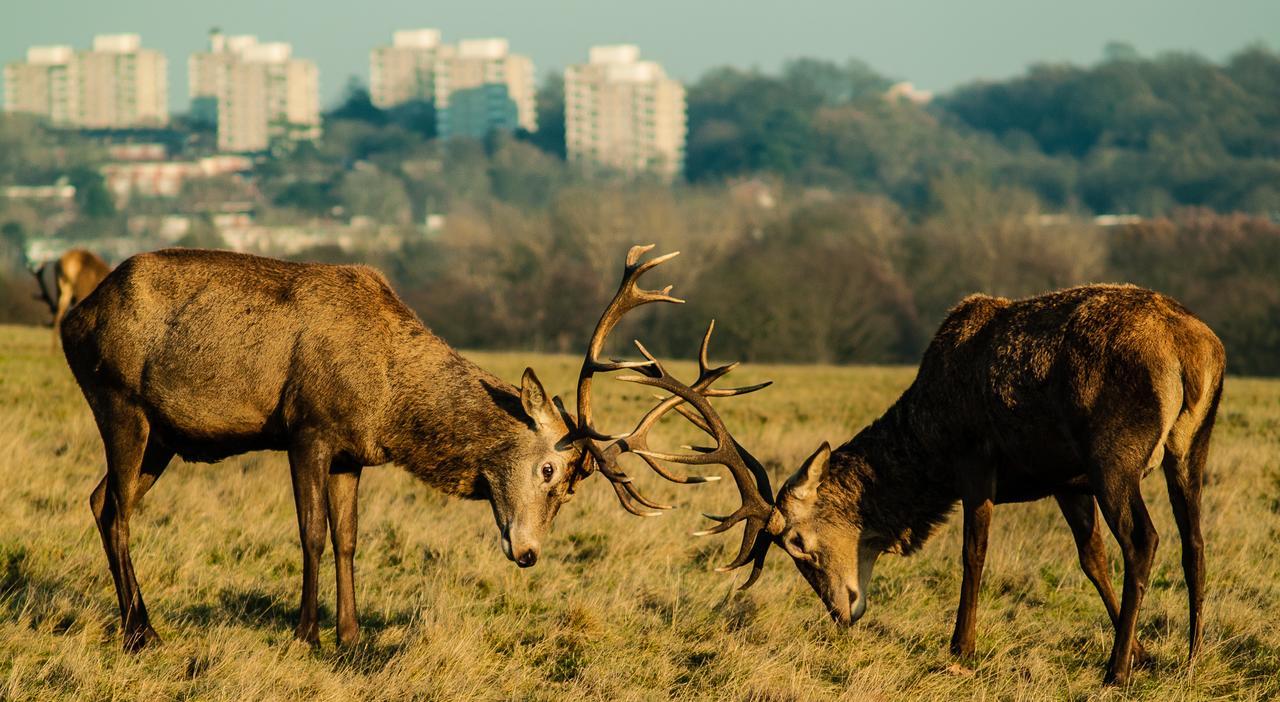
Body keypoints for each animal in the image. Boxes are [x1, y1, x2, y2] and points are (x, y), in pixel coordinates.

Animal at [57, 244, 711, 650]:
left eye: (571, 490)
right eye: (549, 468)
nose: (528, 554)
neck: (388, 401)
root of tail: (73, 319)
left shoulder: (352, 454)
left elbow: (349, 539)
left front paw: (349, 636)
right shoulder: (308, 429)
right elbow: (312, 534)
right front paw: (307, 634)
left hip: (164, 438)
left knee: (100, 500)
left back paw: (138, 624)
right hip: (118, 402)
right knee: (114, 509)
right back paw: (141, 633)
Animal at [634, 284, 1223, 686]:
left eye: (796, 543)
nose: (841, 611)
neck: (928, 442)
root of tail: (1193, 349)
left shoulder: (975, 457)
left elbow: (973, 552)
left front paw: (961, 647)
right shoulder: (1066, 477)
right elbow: (1090, 558)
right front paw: (1143, 649)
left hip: (1115, 454)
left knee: (1145, 540)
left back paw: (1114, 672)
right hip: (1189, 444)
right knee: (1194, 541)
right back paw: (1192, 656)